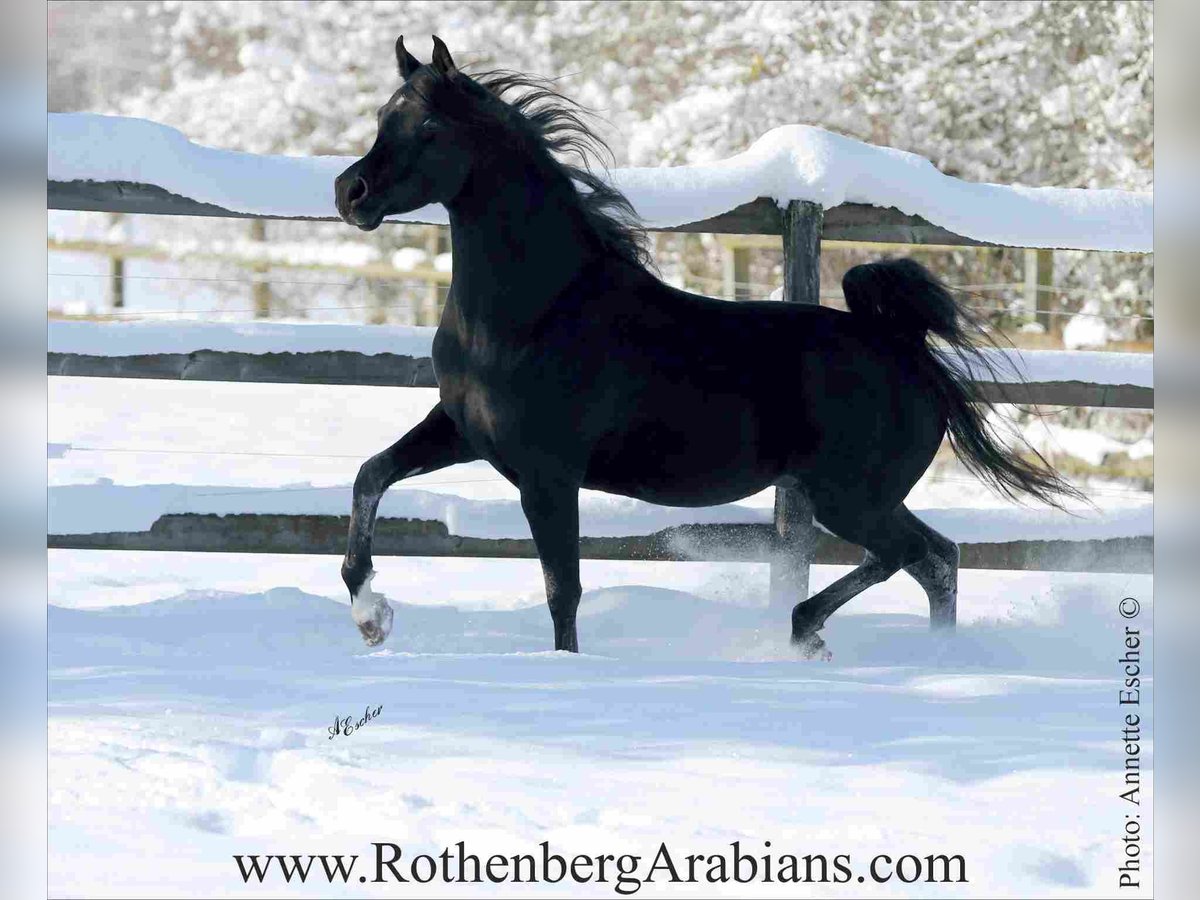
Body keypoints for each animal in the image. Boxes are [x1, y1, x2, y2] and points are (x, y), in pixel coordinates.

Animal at [331, 35, 1080, 657]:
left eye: (429, 127)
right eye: (382, 117)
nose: (349, 192)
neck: (534, 313)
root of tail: (903, 346)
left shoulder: (549, 474)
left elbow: (562, 592)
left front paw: (564, 670)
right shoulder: (462, 431)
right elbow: (371, 474)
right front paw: (372, 617)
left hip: (851, 498)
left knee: (913, 556)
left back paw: (809, 632)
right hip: (862, 495)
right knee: (939, 559)